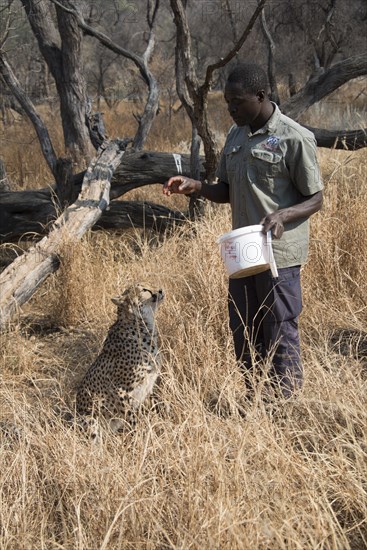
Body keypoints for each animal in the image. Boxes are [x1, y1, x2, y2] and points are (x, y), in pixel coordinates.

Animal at [75, 282, 165, 438]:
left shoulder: (148, 385)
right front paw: (138, 438)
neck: (142, 325)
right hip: (88, 419)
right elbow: (132, 418)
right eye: (145, 289)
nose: (160, 290)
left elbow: (151, 409)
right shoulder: (119, 389)